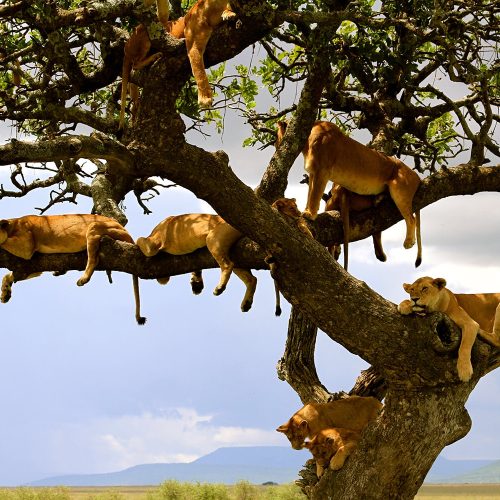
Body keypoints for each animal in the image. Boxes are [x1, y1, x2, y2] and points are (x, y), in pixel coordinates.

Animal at [0, 214, 146, 324]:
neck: (13, 224)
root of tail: (127, 232)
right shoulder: (31, 265)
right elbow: (10, 275)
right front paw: (5, 293)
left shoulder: (27, 247)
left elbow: (4, 243)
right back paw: (59, 271)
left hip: (94, 227)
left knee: (94, 259)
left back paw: (83, 278)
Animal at [278, 120, 422, 270]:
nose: (278, 145)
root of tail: (417, 176)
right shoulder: (313, 173)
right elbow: (310, 195)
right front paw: (307, 210)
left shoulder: (322, 171)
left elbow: (314, 195)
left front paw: (309, 214)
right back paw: (378, 199)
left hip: (400, 191)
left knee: (411, 218)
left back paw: (409, 242)